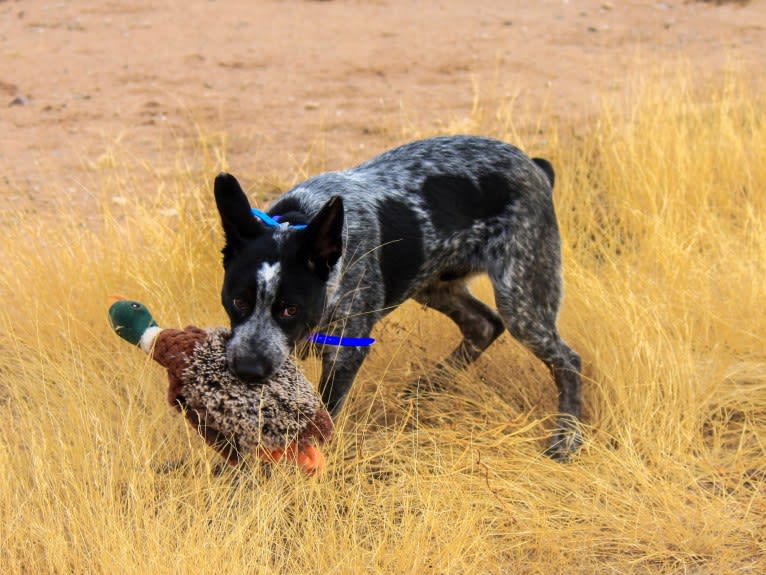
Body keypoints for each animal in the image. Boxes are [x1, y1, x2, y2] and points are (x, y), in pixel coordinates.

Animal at [213, 134, 584, 460]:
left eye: (290, 309)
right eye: (239, 302)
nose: (247, 370)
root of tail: (535, 166)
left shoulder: (345, 352)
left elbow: (321, 419)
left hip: (521, 297)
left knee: (567, 360)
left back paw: (566, 437)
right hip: (434, 285)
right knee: (484, 324)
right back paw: (426, 387)